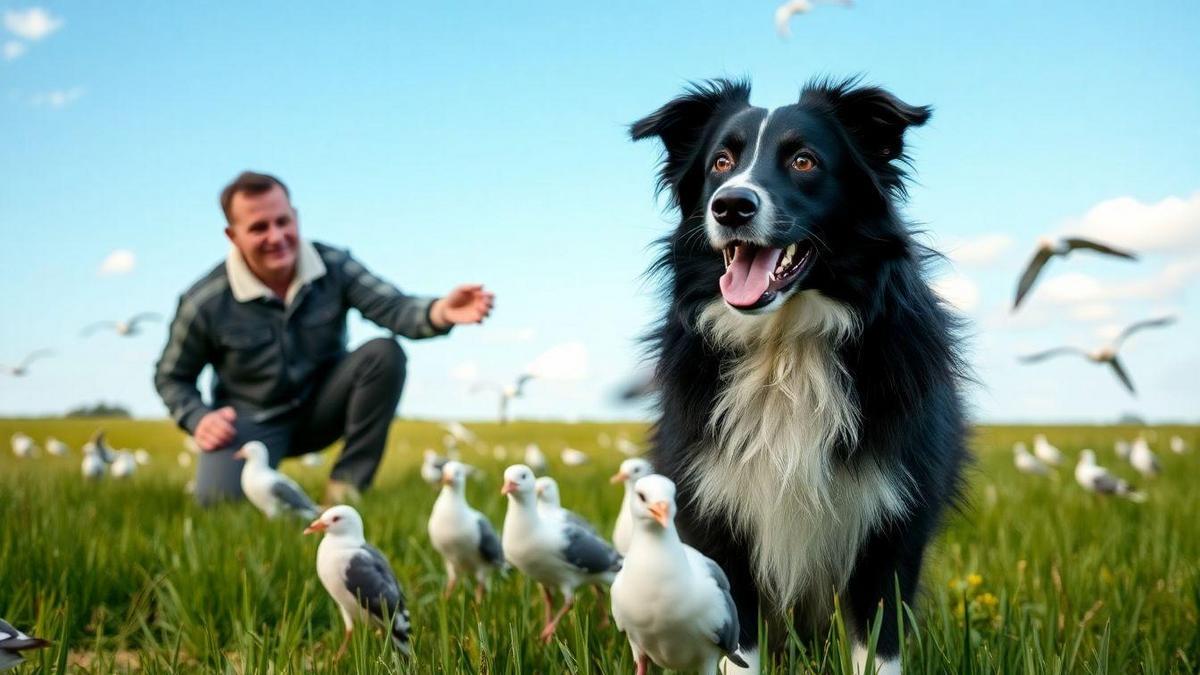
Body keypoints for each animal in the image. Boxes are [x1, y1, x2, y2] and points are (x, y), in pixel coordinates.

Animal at [633, 79, 969, 672]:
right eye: (721, 162)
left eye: (804, 160)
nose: (731, 206)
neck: (784, 347)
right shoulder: (717, 515)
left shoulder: (889, 529)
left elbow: (877, 647)